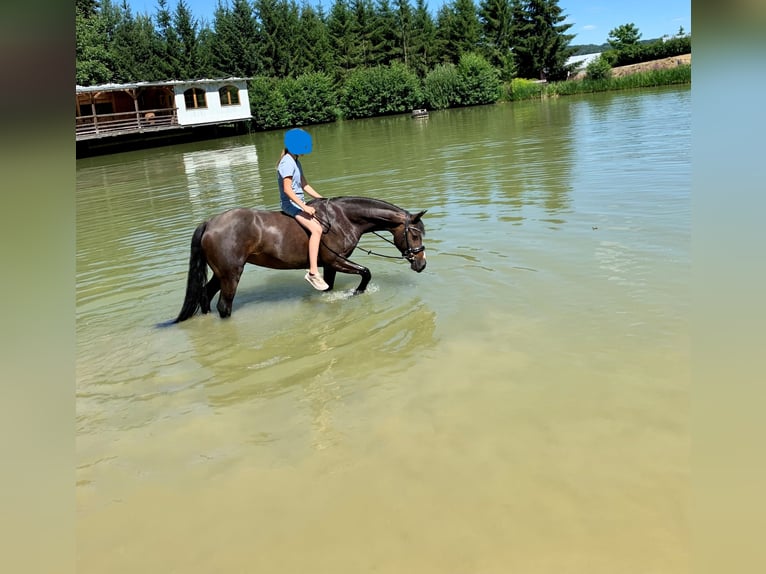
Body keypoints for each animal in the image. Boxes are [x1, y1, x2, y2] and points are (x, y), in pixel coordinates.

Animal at [170, 197, 428, 324]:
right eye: (415, 234)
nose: (422, 264)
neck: (343, 219)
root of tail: (210, 223)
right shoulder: (335, 261)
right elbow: (366, 272)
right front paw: (355, 293)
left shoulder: (329, 265)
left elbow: (329, 287)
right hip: (231, 274)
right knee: (224, 306)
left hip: (220, 273)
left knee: (205, 294)